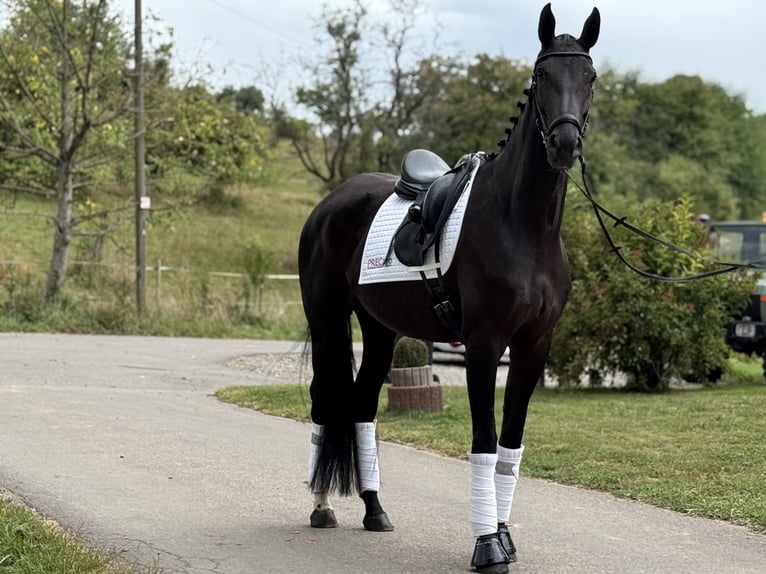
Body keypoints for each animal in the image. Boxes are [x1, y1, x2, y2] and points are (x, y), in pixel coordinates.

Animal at [298, 4, 600, 573]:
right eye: (542, 75)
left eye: (590, 77)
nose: (565, 144)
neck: (522, 224)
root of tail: (331, 202)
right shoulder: (483, 344)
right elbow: (484, 440)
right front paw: (487, 546)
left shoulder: (534, 346)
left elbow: (510, 446)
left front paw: (503, 535)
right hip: (326, 321)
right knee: (326, 401)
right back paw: (322, 505)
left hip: (381, 331)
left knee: (363, 406)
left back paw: (375, 509)